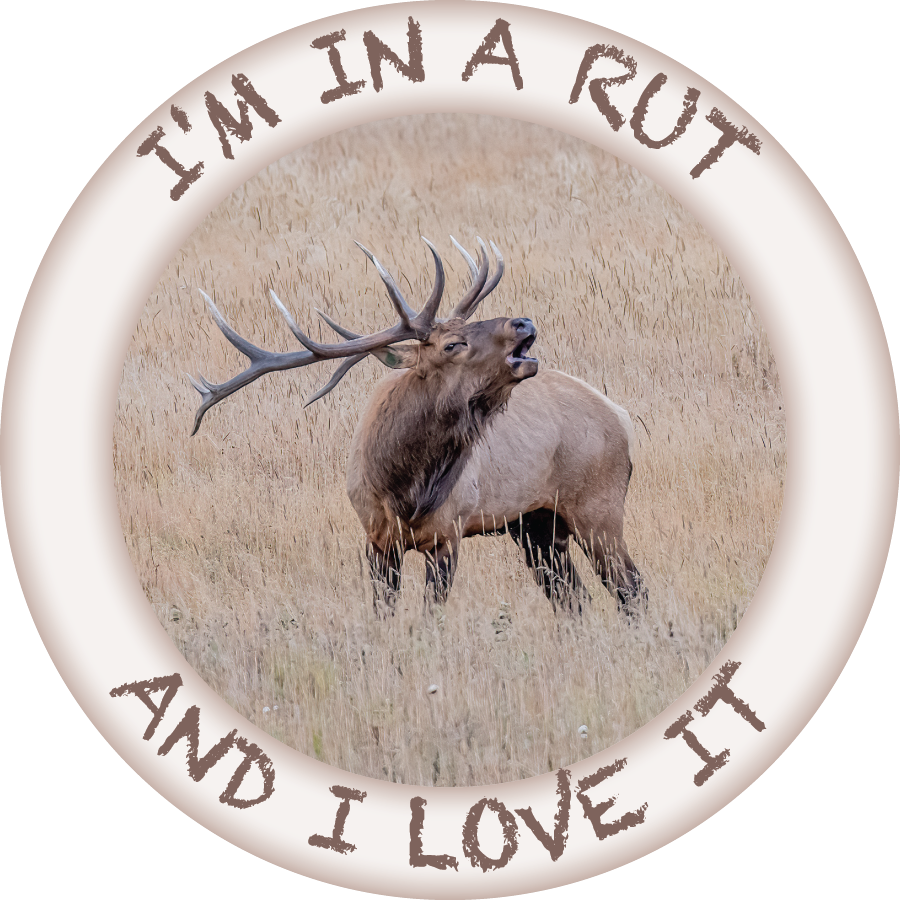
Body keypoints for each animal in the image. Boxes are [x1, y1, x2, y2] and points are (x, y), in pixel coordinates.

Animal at [189, 237, 644, 616]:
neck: (404, 488)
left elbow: (430, 618)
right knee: (574, 598)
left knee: (631, 587)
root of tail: (620, 415)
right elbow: (383, 614)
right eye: (453, 343)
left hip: (598, 506)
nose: (523, 322)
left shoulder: (448, 533)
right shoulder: (375, 537)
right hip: (535, 524)